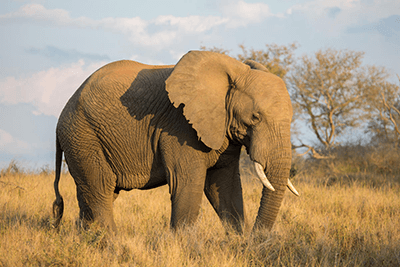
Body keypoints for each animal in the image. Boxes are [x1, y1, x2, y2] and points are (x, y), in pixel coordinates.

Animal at [51, 50, 298, 234]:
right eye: (255, 117)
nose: (257, 236)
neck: (233, 73)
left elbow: (225, 185)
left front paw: (240, 243)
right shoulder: (179, 127)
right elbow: (186, 182)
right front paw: (187, 248)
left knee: (92, 194)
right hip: (83, 136)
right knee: (100, 189)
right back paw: (111, 242)